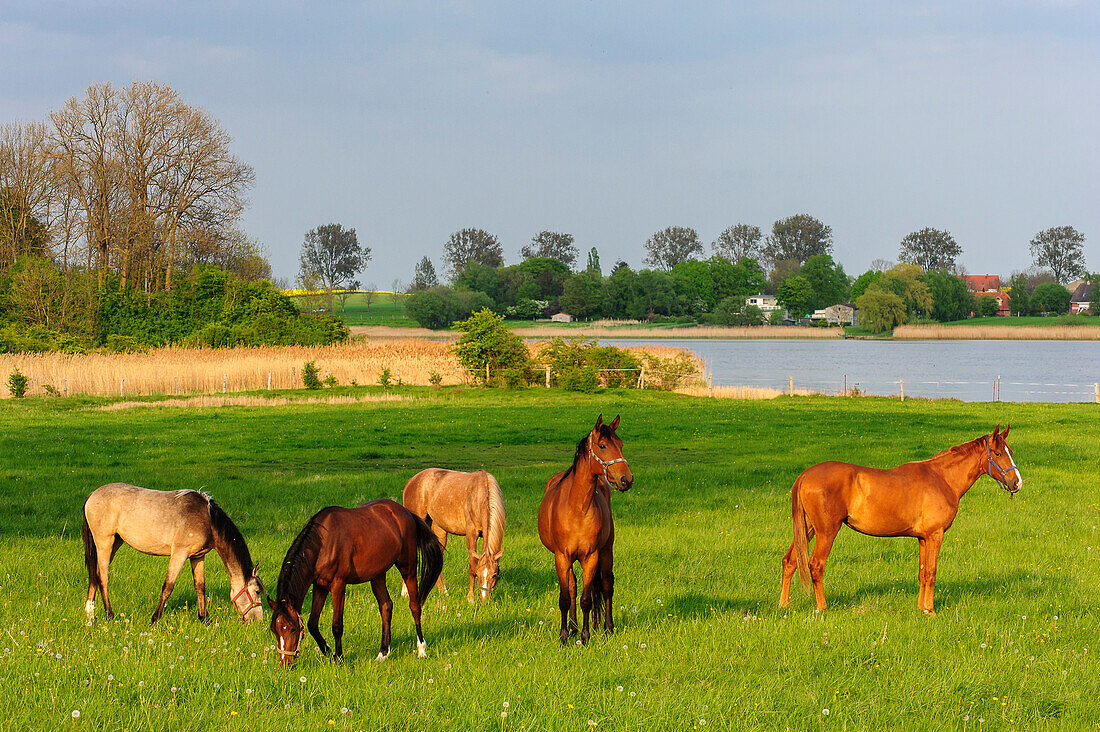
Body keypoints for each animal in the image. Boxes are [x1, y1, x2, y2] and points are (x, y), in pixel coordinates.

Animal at [269, 499, 442, 664]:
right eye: (274, 629)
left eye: (292, 629)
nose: (285, 663)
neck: (323, 544)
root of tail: (405, 512)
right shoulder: (320, 586)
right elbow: (312, 624)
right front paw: (330, 652)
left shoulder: (338, 585)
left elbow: (337, 625)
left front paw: (339, 658)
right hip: (377, 575)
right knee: (386, 606)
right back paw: (382, 653)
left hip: (408, 569)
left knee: (415, 606)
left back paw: (421, 650)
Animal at [404, 468, 506, 598]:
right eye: (478, 574)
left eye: (494, 575)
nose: (484, 599)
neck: (481, 495)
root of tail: (411, 481)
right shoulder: (471, 534)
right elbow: (472, 566)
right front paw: (470, 598)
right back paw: (405, 593)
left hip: (438, 531)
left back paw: (444, 593)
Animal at [536, 413, 633, 642]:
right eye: (602, 445)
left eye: (621, 444)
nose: (626, 479)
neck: (577, 509)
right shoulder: (562, 557)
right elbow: (566, 596)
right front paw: (564, 635)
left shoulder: (591, 557)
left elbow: (587, 599)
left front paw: (586, 635)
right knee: (573, 587)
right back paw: (573, 627)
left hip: (606, 551)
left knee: (606, 586)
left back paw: (607, 626)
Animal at [783, 424, 1020, 612]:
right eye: (997, 454)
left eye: (1009, 451)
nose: (1017, 482)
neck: (942, 479)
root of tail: (805, 474)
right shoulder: (935, 535)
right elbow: (931, 572)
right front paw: (930, 611)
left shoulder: (923, 538)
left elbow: (923, 573)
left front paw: (921, 608)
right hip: (826, 531)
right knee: (816, 565)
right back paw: (822, 608)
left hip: (807, 529)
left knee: (790, 561)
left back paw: (783, 606)